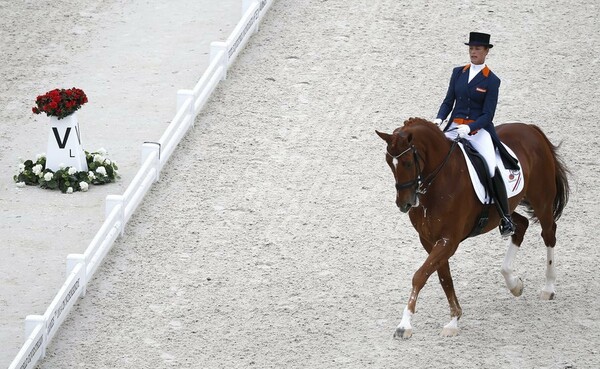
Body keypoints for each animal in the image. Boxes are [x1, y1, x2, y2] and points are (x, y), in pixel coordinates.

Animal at [378, 116, 568, 338]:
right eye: (389, 162)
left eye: (408, 162)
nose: (404, 204)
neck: (438, 182)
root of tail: (530, 128)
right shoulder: (429, 240)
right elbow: (444, 278)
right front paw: (454, 319)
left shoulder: (449, 241)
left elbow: (419, 276)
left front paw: (404, 325)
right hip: (505, 209)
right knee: (521, 226)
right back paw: (514, 284)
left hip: (542, 201)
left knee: (549, 234)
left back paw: (548, 288)